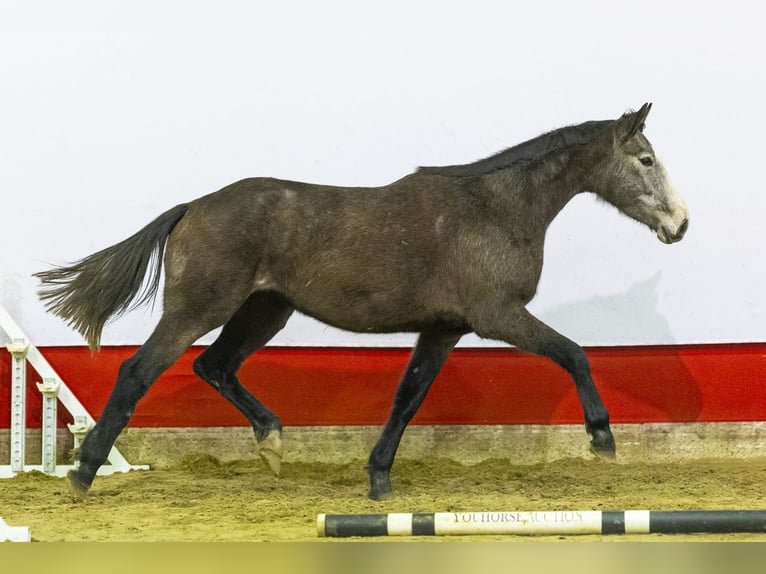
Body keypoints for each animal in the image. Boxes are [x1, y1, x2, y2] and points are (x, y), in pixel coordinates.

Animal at [34, 106, 688, 502]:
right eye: (646, 159)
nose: (679, 224)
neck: (494, 208)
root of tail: (193, 205)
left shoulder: (445, 327)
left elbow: (407, 398)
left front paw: (378, 479)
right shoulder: (498, 317)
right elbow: (575, 353)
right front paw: (602, 440)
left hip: (265, 310)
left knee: (214, 365)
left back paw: (272, 443)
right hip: (200, 309)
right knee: (137, 370)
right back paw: (83, 474)